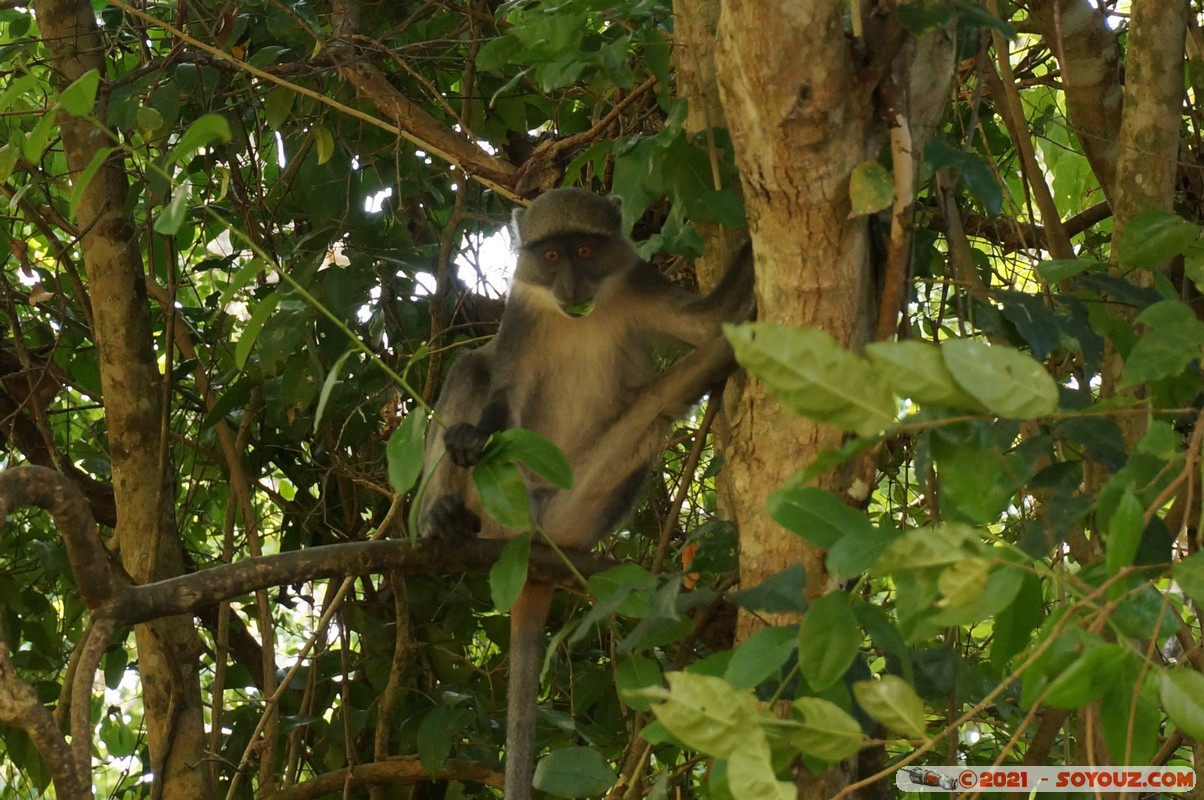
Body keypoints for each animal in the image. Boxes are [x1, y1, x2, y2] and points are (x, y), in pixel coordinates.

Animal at [416, 187, 751, 800]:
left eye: (586, 249)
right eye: (551, 256)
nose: (571, 289)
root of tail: (532, 545)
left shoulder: (634, 282)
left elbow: (708, 322)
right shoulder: (521, 315)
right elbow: (502, 393)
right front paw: (472, 437)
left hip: (583, 502)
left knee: (662, 402)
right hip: (497, 504)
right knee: (470, 366)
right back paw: (441, 517)